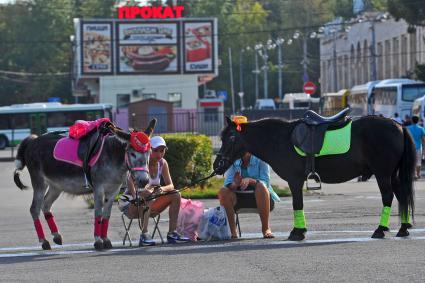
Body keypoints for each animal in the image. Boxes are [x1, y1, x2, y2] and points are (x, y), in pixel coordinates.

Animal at [214, 115, 412, 242]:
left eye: (230, 137)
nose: (217, 164)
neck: (280, 139)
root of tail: (399, 125)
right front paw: (299, 231)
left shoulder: (294, 180)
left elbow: (297, 204)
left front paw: (297, 232)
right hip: (392, 175)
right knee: (401, 196)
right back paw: (403, 229)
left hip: (383, 174)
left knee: (388, 197)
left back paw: (380, 230)